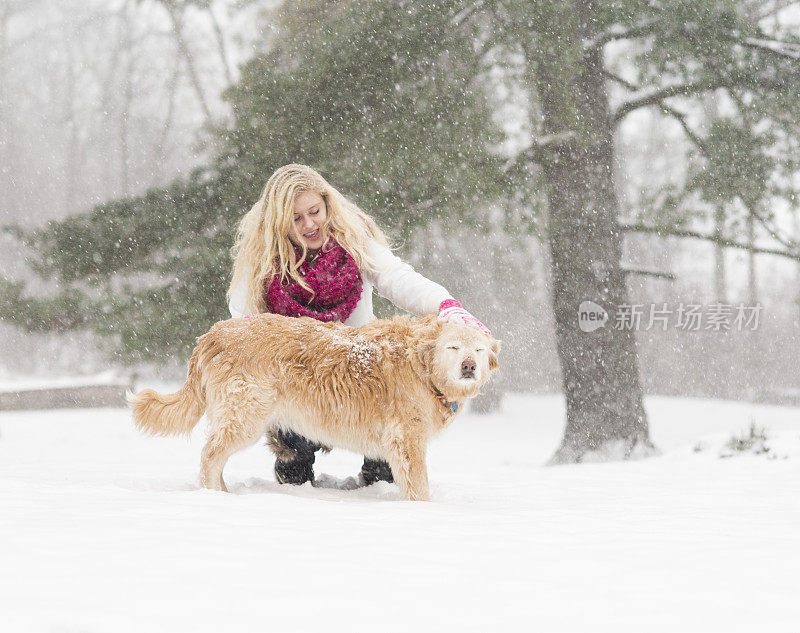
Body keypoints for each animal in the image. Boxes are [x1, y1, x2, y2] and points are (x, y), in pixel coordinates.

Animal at [127, 312, 496, 498]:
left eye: (478, 350)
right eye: (452, 347)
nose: (469, 366)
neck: (421, 366)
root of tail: (211, 334)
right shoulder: (407, 439)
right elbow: (420, 485)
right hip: (245, 416)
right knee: (210, 456)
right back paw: (215, 497)